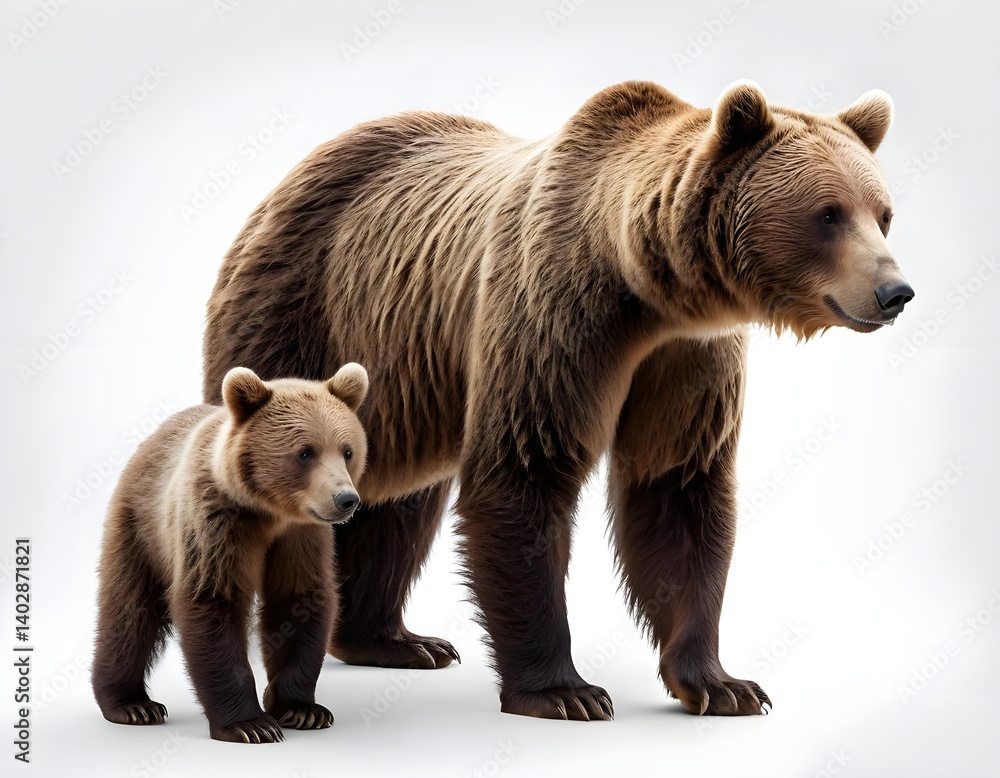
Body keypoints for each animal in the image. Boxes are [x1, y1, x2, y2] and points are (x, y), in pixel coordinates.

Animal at [92, 363, 369, 742]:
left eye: (347, 450)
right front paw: (250, 724)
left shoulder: (302, 536)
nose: (345, 499)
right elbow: (212, 601)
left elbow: (299, 599)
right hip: (139, 526)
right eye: (305, 452)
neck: (268, 512)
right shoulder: (216, 524)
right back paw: (131, 704)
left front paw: (302, 709)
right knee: (129, 612)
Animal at [202, 81, 913, 720]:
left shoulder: (687, 358)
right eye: (828, 213)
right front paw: (565, 690)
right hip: (301, 319)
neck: (647, 290)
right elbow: (526, 472)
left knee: (399, 502)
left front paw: (723, 684)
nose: (895, 291)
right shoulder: (556, 317)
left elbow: (678, 490)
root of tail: (291, 176)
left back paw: (396, 640)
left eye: (882, 213)